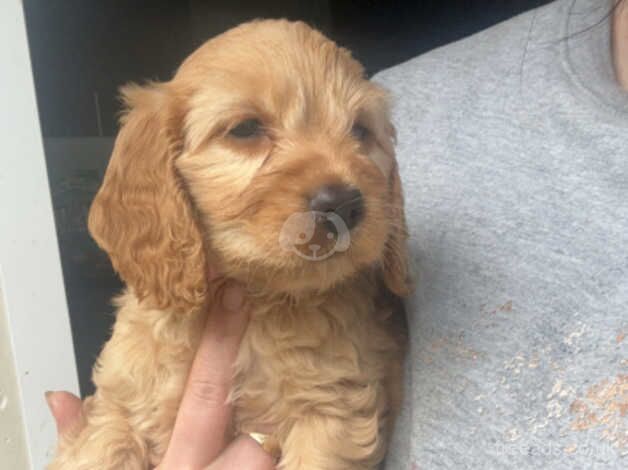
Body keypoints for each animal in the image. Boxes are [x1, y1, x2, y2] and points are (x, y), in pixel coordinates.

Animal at [50, 19, 412, 470]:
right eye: (245, 129)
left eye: (360, 131)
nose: (343, 204)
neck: (258, 298)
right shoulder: (121, 403)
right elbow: (103, 445)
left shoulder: (331, 413)